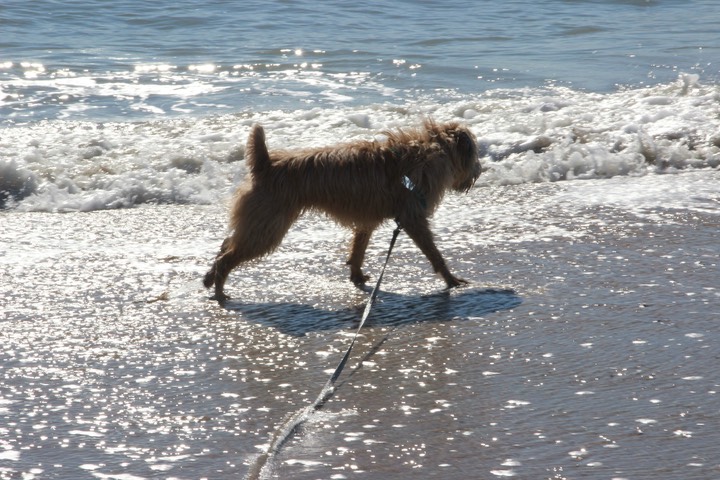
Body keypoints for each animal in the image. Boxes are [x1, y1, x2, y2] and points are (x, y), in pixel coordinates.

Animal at [202, 119, 480, 300]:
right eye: (475, 154)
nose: (479, 171)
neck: (430, 148)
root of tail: (266, 165)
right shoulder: (412, 216)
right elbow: (434, 252)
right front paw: (451, 279)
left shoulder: (368, 219)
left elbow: (358, 249)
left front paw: (356, 275)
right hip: (267, 225)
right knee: (230, 255)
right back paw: (219, 290)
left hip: (258, 221)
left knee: (227, 243)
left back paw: (209, 277)